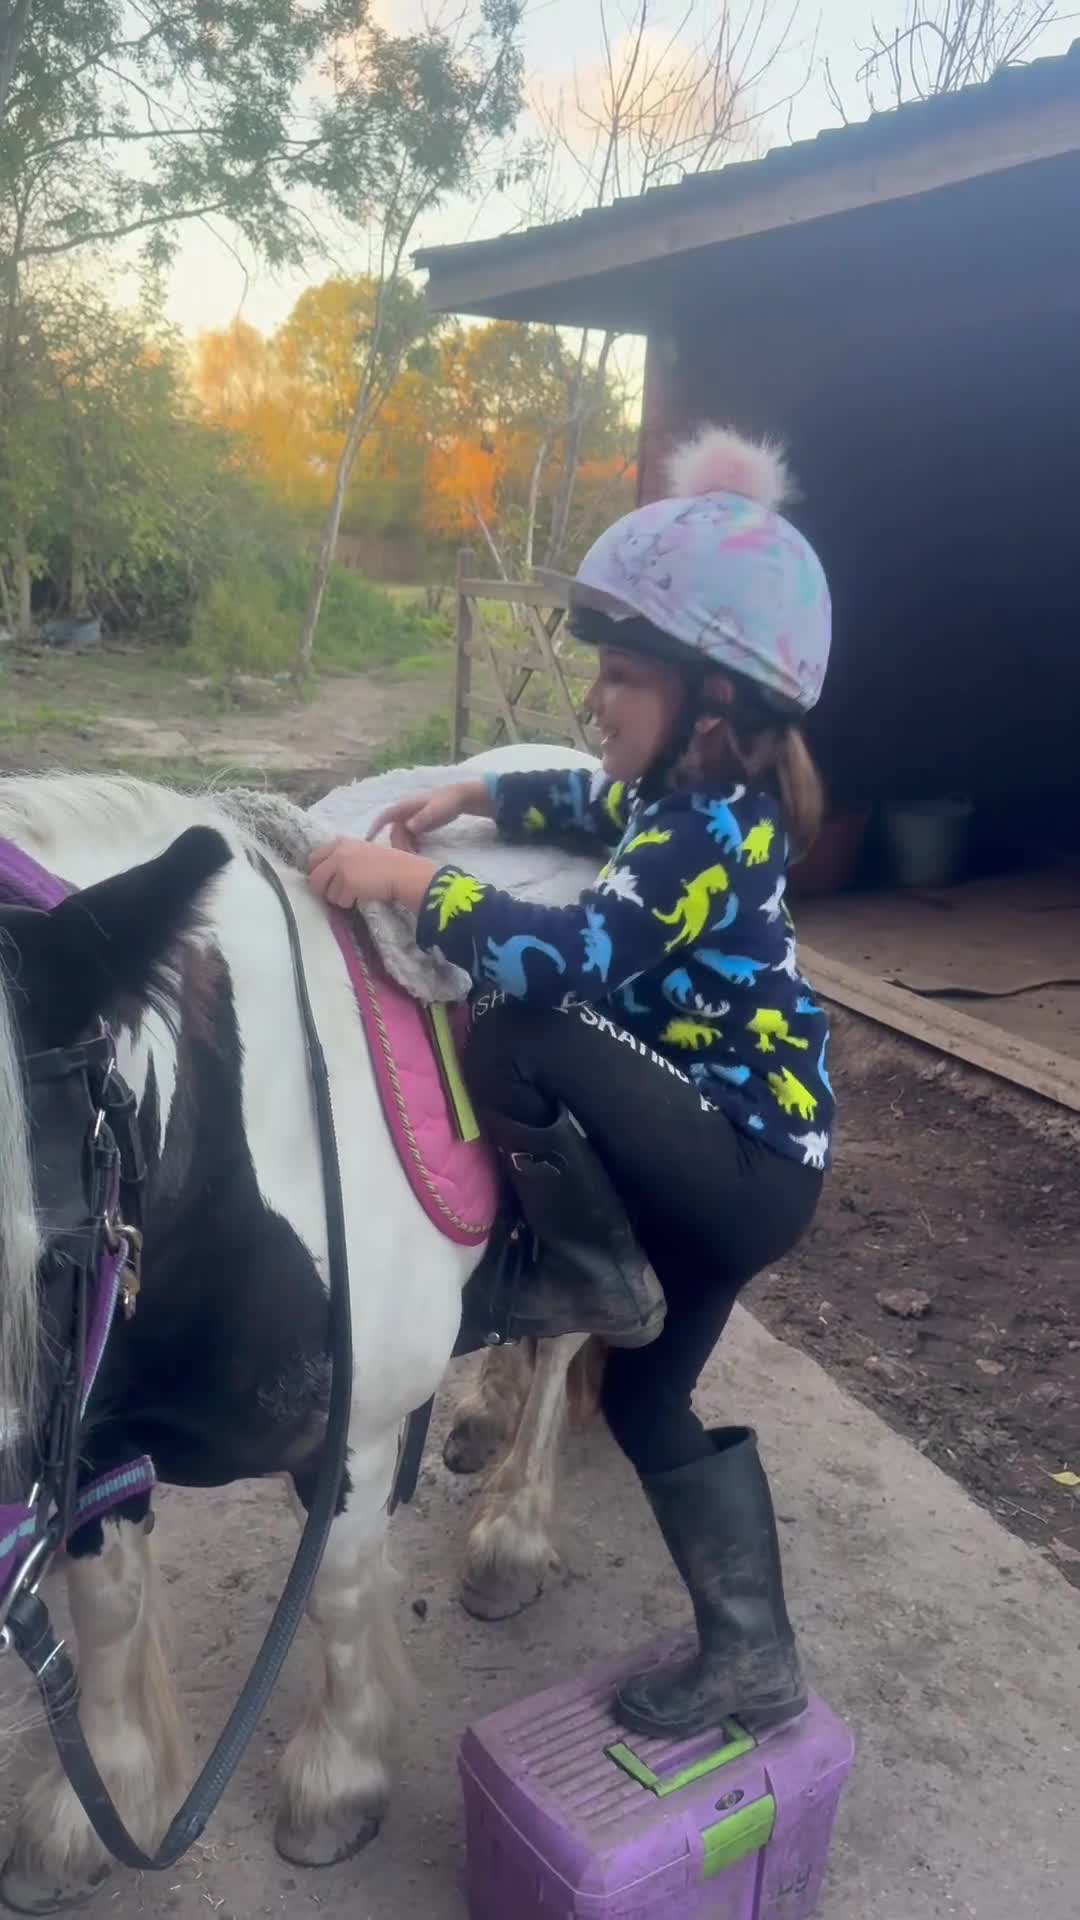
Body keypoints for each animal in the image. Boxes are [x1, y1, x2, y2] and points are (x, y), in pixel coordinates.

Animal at [0, 748, 599, 1912]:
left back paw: (511, 1534)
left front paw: (336, 1785)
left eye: (41, 1249)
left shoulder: (352, 1442)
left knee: (558, 1351)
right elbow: (104, 1610)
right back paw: (480, 1416)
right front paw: (87, 1815)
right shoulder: (88, 1437)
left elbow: (337, 1591)